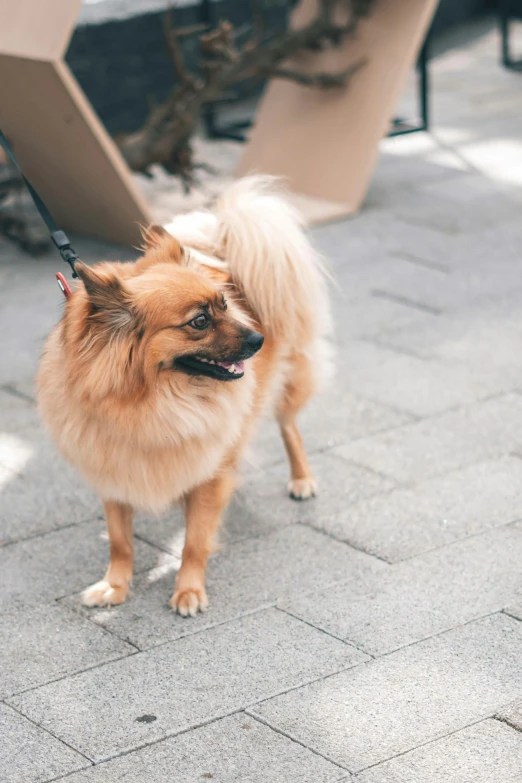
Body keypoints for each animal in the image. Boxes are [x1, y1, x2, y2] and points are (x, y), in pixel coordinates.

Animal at [37, 178, 330, 620]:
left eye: (225, 305)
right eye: (200, 321)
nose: (258, 338)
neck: (154, 402)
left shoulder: (208, 473)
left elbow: (195, 539)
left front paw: (189, 590)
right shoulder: (111, 471)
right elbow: (120, 541)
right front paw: (115, 585)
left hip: (287, 385)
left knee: (289, 428)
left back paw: (302, 480)